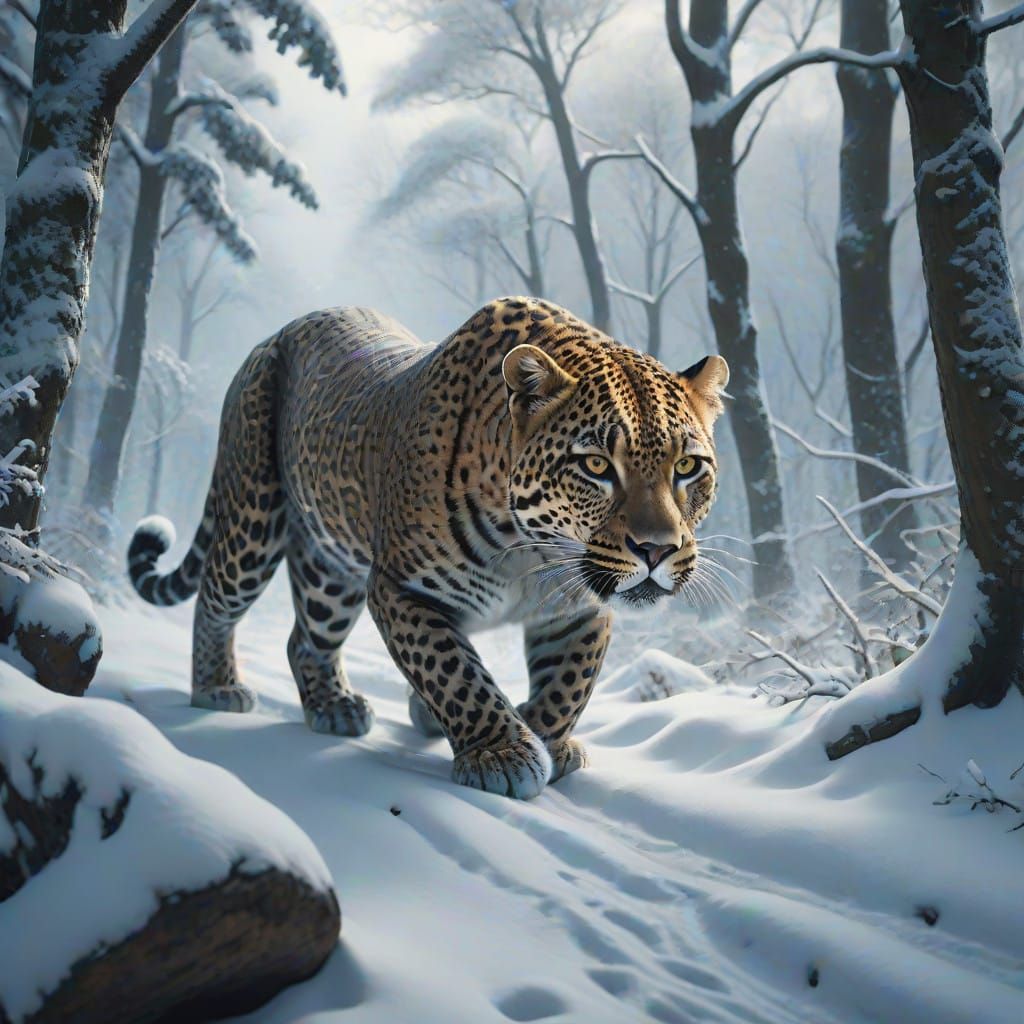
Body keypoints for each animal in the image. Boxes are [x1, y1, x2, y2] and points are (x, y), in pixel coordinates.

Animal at [128, 297, 728, 800]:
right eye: (598, 465)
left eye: (686, 466)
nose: (656, 549)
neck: (530, 552)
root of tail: (282, 330)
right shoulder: (401, 588)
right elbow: (453, 671)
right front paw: (502, 753)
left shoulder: (577, 608)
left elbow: (570, 680)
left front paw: (547, 736)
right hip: (253, 512)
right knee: (216, 598)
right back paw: (218, 688)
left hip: (329, 571)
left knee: (307, 639)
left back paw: (335, 706)